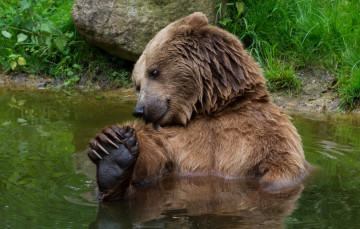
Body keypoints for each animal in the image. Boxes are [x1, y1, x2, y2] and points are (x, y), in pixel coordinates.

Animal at [86, 12, 310, 200]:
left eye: (154, 71)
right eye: (137, 84)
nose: (140, 110)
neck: (211, 109)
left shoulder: (267, 131)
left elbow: (282, 167)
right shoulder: (174, 141)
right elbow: (153, 160)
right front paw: (112, 148)